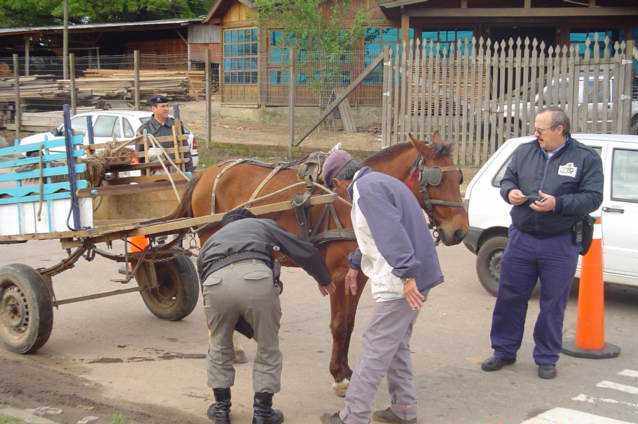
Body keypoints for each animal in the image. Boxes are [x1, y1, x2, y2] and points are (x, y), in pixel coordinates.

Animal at [165, 132, 470, 394]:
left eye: (459, 178)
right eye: (435, 180)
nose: (460, 232)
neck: (350, 199)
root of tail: (206, 173)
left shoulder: (357, 276)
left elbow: (349, 323)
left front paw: (346, 371)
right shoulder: (337, 275)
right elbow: (337, 324)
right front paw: (339, 376)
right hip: (212, 243)